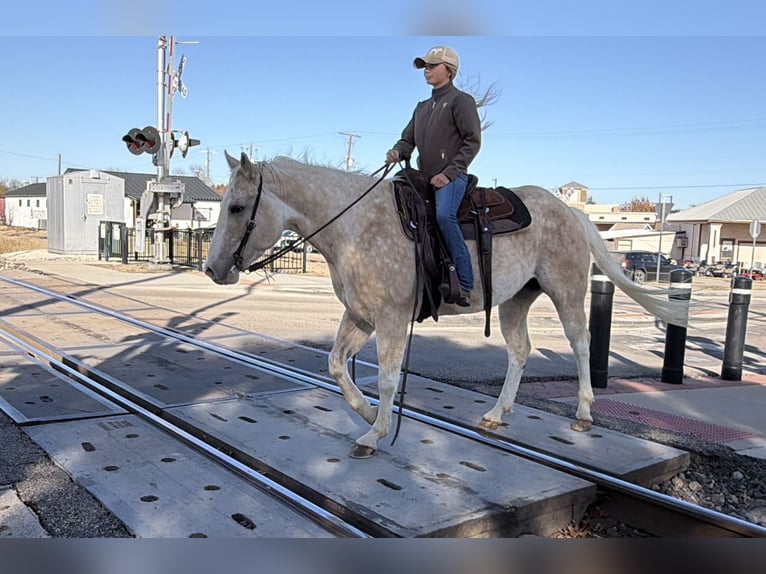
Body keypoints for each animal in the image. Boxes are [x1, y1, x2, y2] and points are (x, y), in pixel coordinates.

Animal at [203, 152, 688, 459]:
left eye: (238, 207)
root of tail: (571, 212)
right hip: (514, 301)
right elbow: (337, 366)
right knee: (520, 351)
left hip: (566, 292)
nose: (210, 269)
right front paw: (366, 414)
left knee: (581, 343)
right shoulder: (360, 315)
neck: (354, 226)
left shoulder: (392, 318)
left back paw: (584, 412)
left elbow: (387, 380)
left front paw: (376, 433)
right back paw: (496, 413)